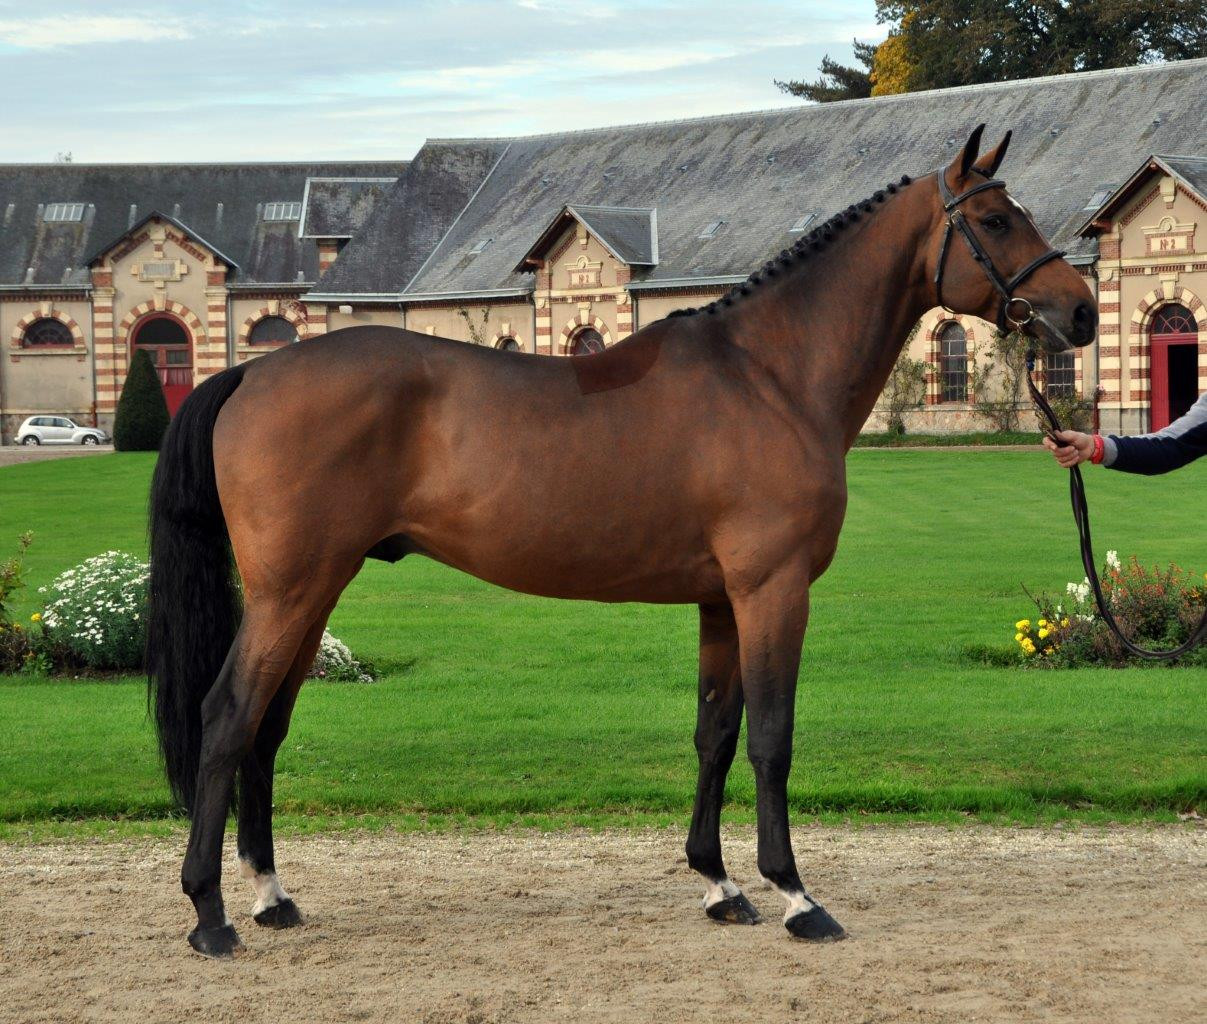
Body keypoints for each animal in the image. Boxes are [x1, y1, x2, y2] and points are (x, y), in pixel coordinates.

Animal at [147, 124, 1096, 958]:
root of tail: (253, 372)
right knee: (227, 719)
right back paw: (210, 914)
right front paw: (796, 895)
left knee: (265, 729)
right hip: (293, 591)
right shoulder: (772, 590)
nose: (1080, 311)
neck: (769, 375)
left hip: (311, 593)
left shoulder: (720, 600)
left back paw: (270, 897)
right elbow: (772, 738)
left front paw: (720, 885)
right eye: (996, 219)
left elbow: (715, 733)